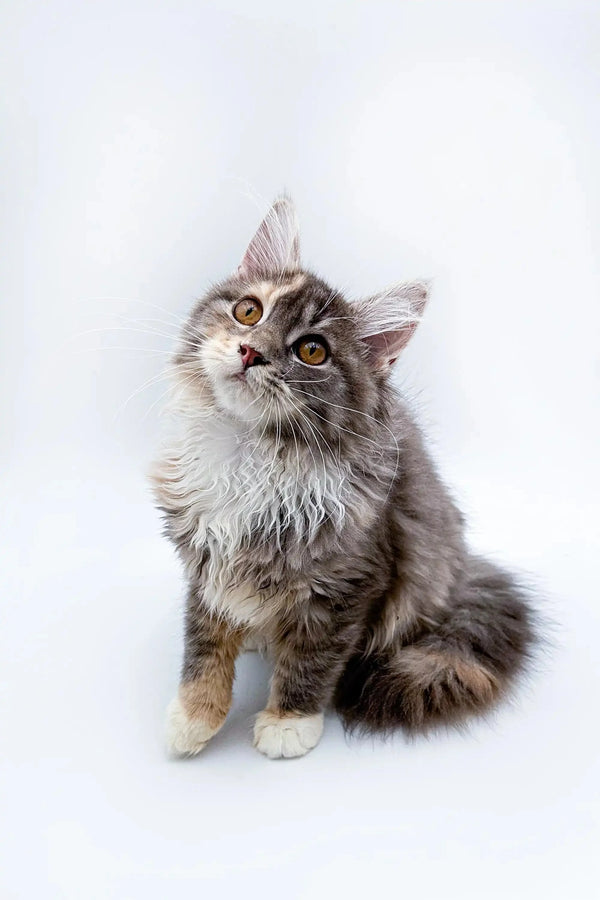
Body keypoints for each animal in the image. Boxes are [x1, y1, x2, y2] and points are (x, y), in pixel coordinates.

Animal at [152, 195, 536, 760]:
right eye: (249, 311)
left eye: (312, 351)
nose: (251, 351)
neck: (252, 455)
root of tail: (466, 572)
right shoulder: (208, 560)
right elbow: (205, 650)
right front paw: (194, 717)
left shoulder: (349, 582)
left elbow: (311, 660)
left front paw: (289, 722)